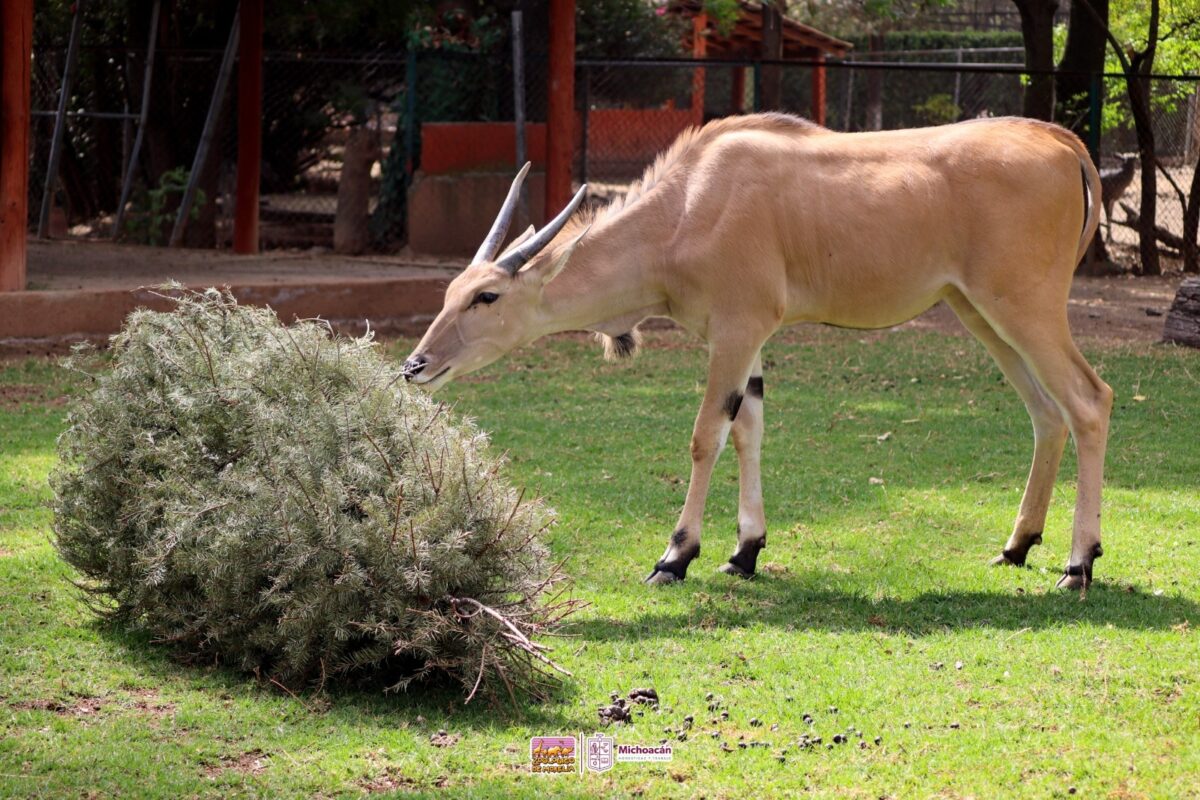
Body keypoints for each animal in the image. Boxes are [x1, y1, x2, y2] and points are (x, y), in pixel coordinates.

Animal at [405, 113, 1113, 594]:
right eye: (450, 291)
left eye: (487, 296)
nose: (417, 366)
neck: (690, 203)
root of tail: (1061, 143)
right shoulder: (748, 342)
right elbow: (749, 429)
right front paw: (745, 550)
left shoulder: (737, 330)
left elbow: (706, 435)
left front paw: (675, 556)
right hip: (979, 312)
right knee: (1046, 413)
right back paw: (1018, 546)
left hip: (1024, 309)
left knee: (1089, 400)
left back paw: (1078, 563)